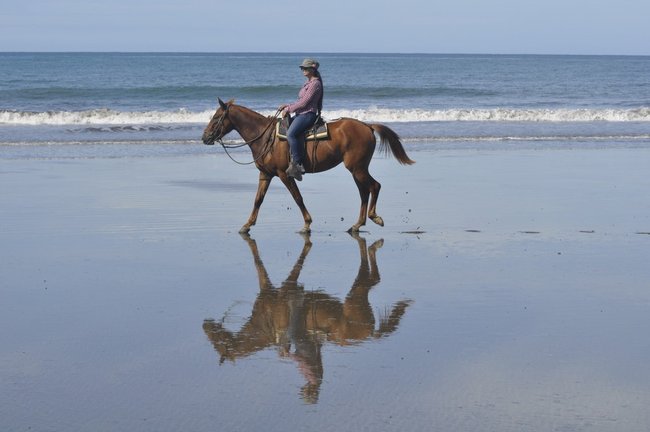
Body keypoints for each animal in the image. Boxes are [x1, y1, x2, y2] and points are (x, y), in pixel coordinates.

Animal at [200, 98, 412, 233]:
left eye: (216, 117)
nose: (204, 137)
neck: (265, 136)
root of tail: (368, 126)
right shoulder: (265, 175)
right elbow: (258, 200)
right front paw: (247, 225)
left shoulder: (284, 174)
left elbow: (297, 198)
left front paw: (307, 224)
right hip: (357, 169)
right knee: (364, 192)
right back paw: (357, 224)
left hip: (357, 168)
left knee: (374, 186)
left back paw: (374, 217)